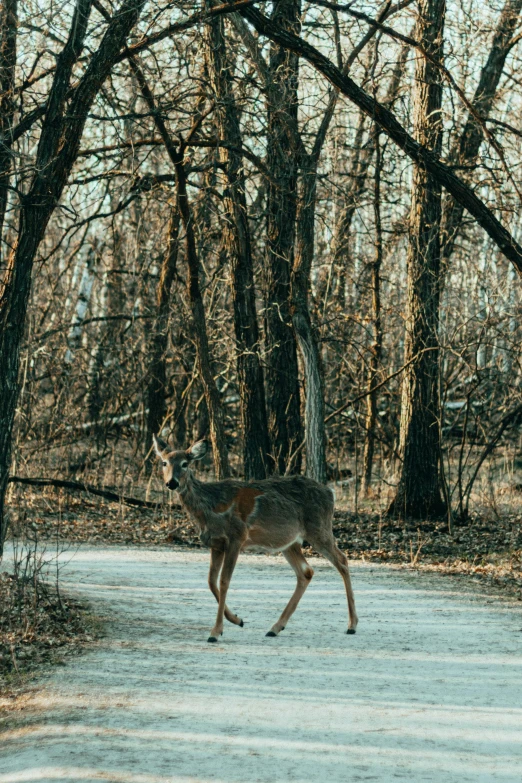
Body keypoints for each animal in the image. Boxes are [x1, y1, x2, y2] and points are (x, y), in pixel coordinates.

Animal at [152, 434, 356, 644]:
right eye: (164, 462)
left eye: (185, 464)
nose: (172, 483)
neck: (211, 508)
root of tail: (330, 493)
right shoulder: (216, 543)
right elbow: (211, 580)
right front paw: (237, 619)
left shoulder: (237, 537)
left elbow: (224, 581)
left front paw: (216, 631)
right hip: (290, 542)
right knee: (306, 571)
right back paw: (275, 627)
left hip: (319, 529)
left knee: (342, 560)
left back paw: (352, 625)